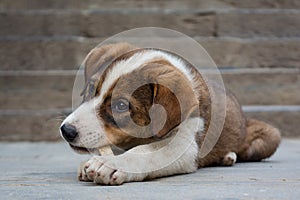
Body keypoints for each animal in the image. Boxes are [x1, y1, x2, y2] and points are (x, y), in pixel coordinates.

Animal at [59, 42, 280, 186]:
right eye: (90, 88)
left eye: (120, 106)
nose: (66, 130)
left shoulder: (184, 144)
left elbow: (146, 152)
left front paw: (113, 164)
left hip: (270, 136)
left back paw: (229, 155)